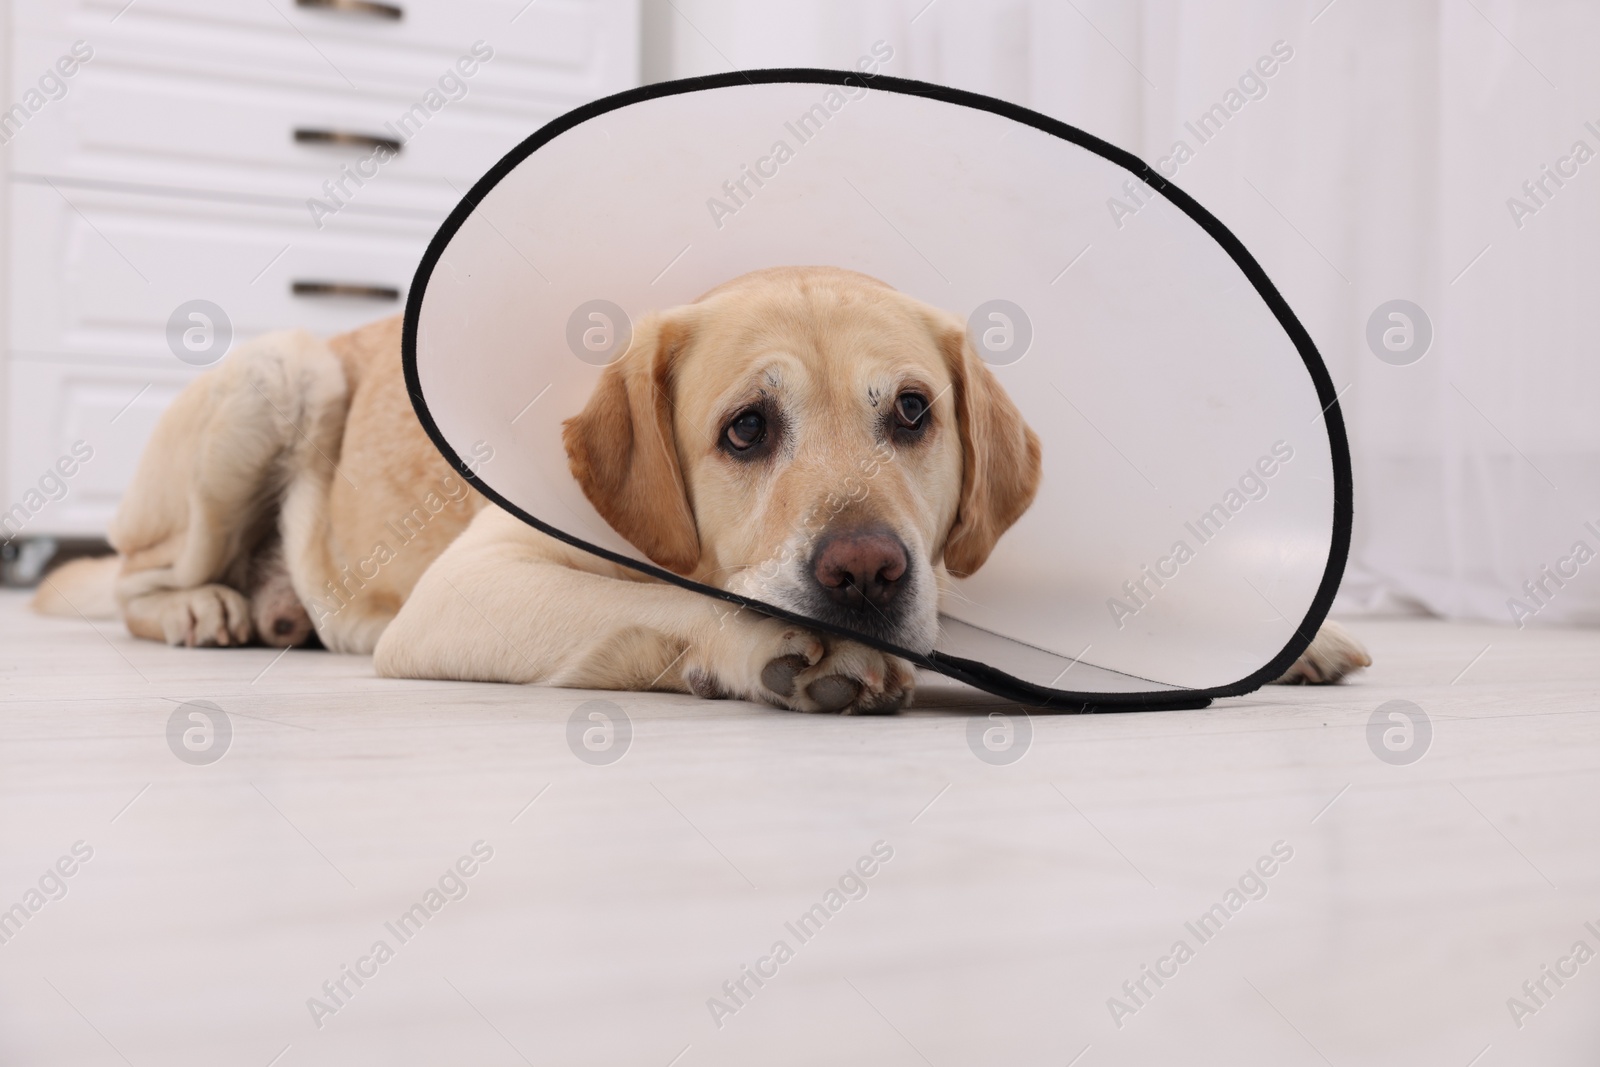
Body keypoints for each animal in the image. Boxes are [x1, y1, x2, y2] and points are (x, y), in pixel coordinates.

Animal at [31, 265, 1369, 710]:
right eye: (745, 429)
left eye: (913, 411)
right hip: (276, 371)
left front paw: (1293, 635)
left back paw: (270, 606)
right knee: (131, 574)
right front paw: (773, 644)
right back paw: (214, 606)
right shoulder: (466, 595)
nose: (867, 570)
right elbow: (674, 597)